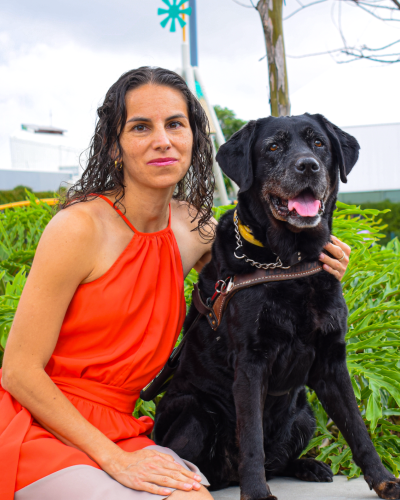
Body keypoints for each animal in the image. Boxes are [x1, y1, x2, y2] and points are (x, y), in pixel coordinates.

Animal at [153, 114, 400, 500]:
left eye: (319, 144)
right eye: (272, 147)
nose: (308, 166)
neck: (289, 263)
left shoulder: (332, 361)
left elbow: (358, 429)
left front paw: (383, 480)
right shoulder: (251, 362)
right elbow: (251, 436)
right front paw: (257, 493)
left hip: (304, 414)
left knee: (279, 460)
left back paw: (310, 465)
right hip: (194, 410)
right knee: (202, 465)